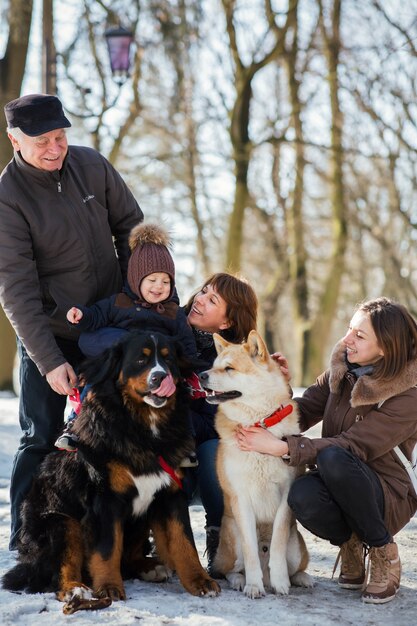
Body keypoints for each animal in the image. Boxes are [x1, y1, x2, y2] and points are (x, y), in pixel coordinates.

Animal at [1, 332, 219, 608]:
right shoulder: (105, 499)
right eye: (141, 359)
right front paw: (108, 588)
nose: (160, 377)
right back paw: (75, 589)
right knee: (60, 570)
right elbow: (107, 549)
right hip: (61, 522)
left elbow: (184, 541)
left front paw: (200, 581)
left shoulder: (170, 494)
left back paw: (151, 567)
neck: (145, 427)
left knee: (130, 557)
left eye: (169, 359)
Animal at [199, 330, 312, 596]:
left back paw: (299, 578)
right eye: (213, 365)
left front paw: (281, 582)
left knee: (296, 567)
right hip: (231, 541)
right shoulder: (241, 497)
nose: (200, 376)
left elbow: (278, 540)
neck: (258, 423)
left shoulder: (286, 495)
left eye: (229, 368)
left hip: (297, 548)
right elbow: (250, 549)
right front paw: (253, 585)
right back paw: (241, 581)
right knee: (229, 569)